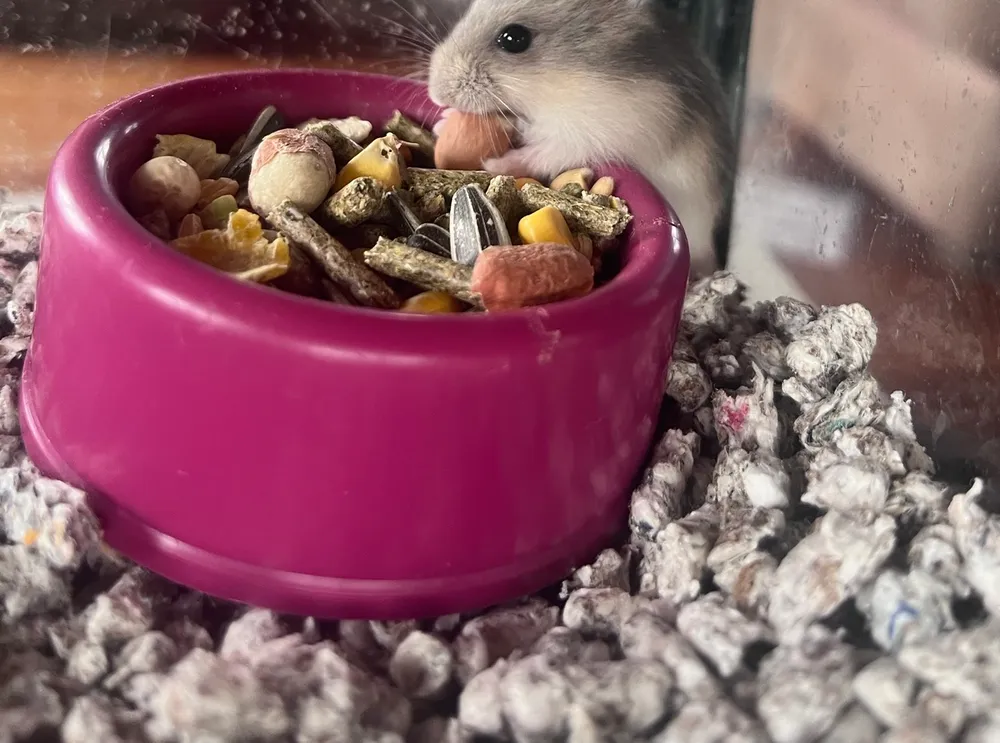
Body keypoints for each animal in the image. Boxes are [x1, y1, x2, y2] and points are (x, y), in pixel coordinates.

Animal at [427, 0, 735, 277]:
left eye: (514, 39)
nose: (435, 93)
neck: (565, 82)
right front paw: (443, 124)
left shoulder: (592, 135)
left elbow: (542, 152)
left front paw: (493, 165)